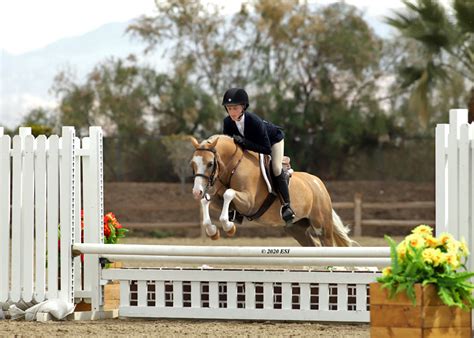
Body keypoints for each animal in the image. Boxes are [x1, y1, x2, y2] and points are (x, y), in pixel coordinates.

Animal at [191, 135, 354, 248]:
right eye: (193, 164)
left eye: (210, 163)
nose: (197, 191)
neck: (234, 166)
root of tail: (318, 184)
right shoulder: (218, 200)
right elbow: (207, 201)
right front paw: (213, 231)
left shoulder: (249, 203)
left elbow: (228, 193)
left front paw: (229, 227)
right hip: (296, 228)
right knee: (313, 245)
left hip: (322, 225)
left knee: (327, 244)